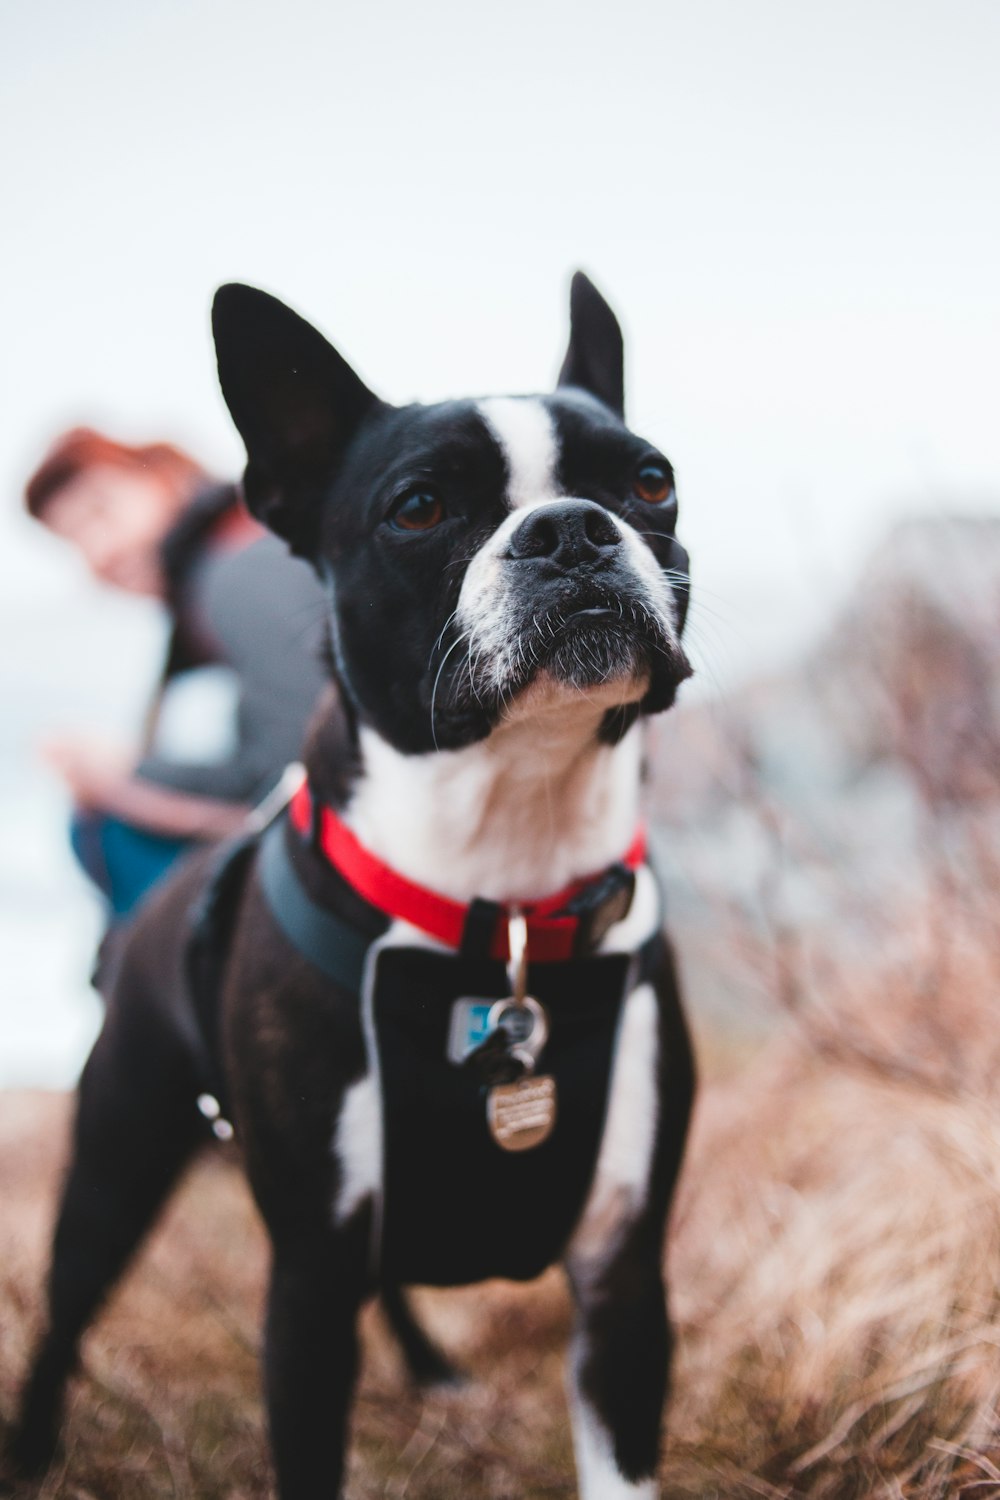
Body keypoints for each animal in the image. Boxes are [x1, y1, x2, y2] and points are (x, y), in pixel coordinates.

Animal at [9, 276, 695, 1494]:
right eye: (418, 508)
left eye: (650, 480)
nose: (570, 528)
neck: (505, 906)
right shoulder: (308, 1290)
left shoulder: (625, 1283)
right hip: (118, 1156)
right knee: (66, 1310)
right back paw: (35, 1445)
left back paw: (432, 1372)